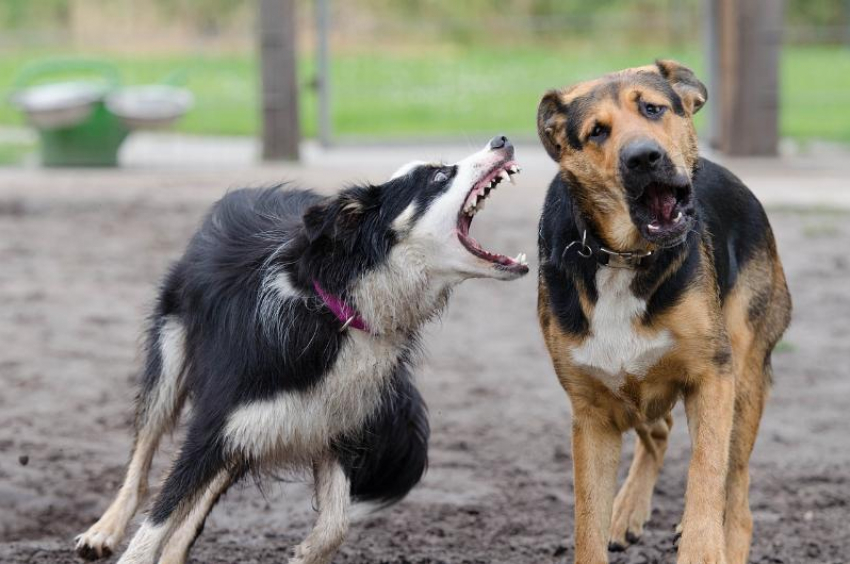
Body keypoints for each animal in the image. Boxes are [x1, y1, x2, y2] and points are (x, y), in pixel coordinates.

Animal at [74, 137, 524, 564]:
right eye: (439, 176)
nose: (502, 140)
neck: (340, 307)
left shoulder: (331, 424)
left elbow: (335, 523)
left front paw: (306, 552)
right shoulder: (216, 424)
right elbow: (157, 520)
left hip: (257, 430)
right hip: (172, 357)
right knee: (143, 459)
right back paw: (103, 532)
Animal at [536, 59, 788, 560]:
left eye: (652, 109)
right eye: (596, 132)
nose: (643, 158)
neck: (621, 257)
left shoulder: (712, 376)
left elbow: (706, 474)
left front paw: (701, 545)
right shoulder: (591, 413)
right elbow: (587, 522)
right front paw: (609, 519)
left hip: (744, 377)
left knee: (737, 491)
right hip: (634, 395)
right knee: (660, 431)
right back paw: (627, 511)